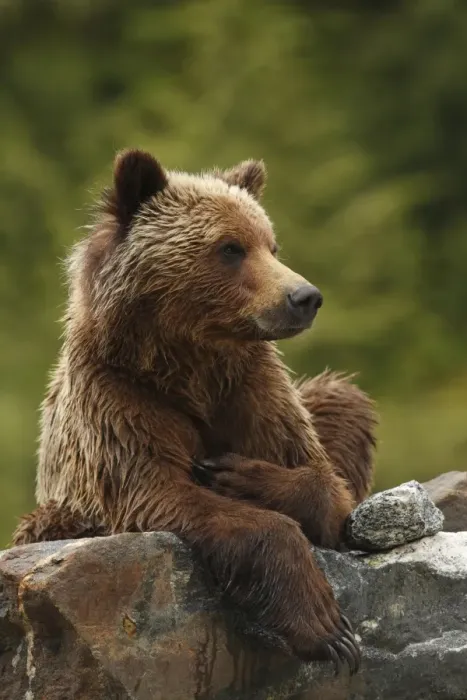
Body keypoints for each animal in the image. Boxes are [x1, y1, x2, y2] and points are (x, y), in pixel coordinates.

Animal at [12, 149, 377, 673]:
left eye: (272, 245)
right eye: (230, 248)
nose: (305, 297)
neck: (190, 365)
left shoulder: (251, 389)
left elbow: (323, 480)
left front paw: (237, 475)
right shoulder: (122, 403)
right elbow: (162, 491)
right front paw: (328, 629)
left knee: (341, 399)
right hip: (55, 515)